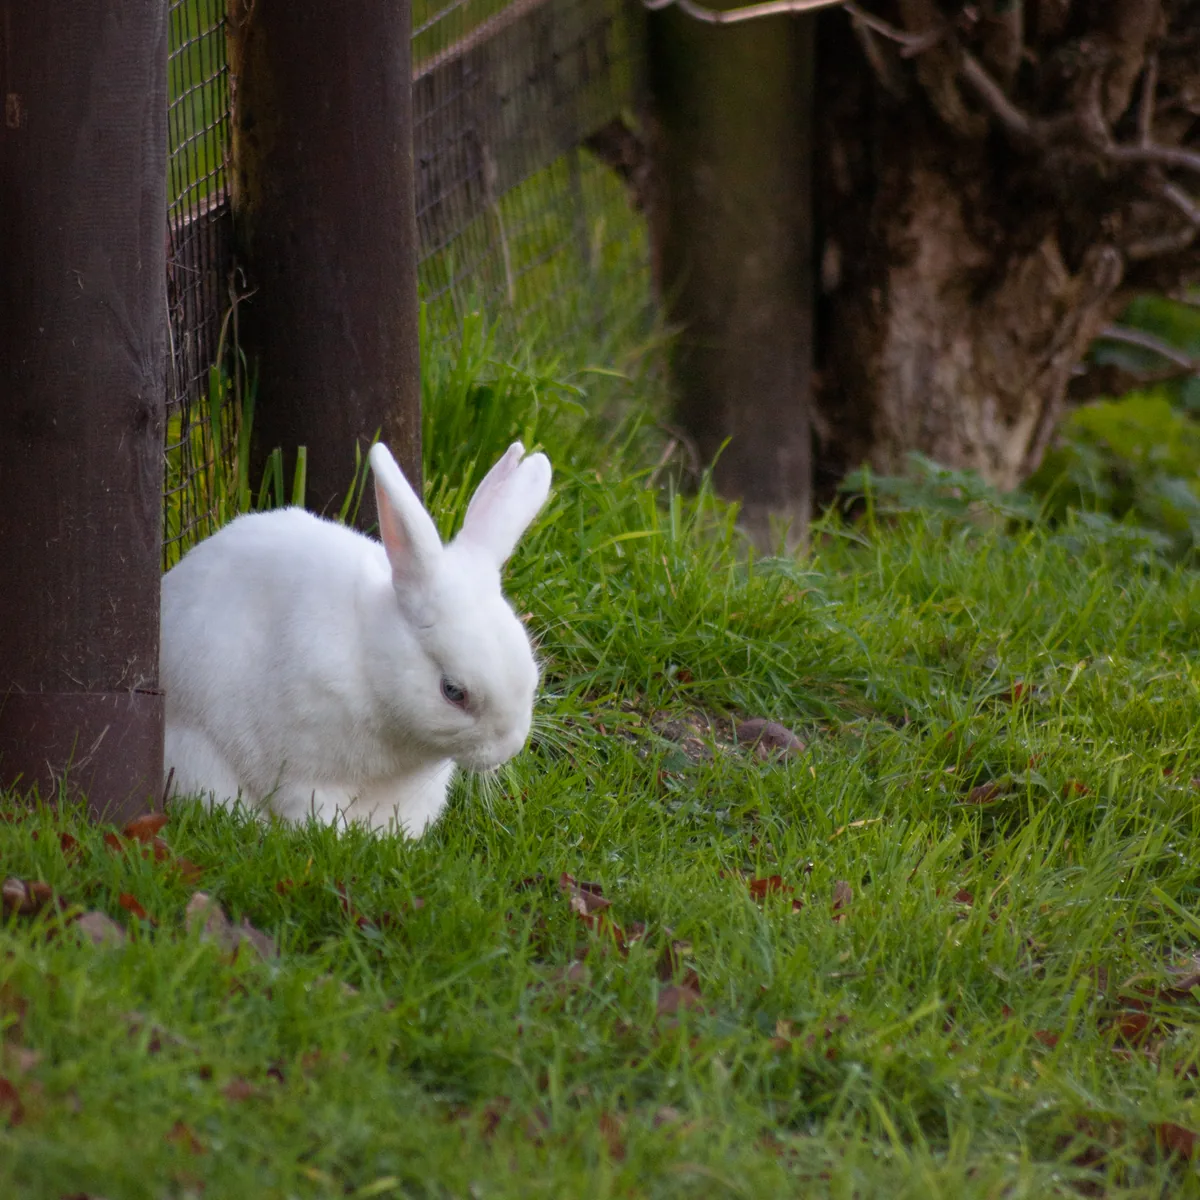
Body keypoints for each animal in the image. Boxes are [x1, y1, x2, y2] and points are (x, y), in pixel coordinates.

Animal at [160, 440, 552, 836]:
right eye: (453, 692)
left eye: (533, 676)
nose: (509, 748)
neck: (370, 663)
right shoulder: (306, 770)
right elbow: (312, 807)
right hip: (196, 755)